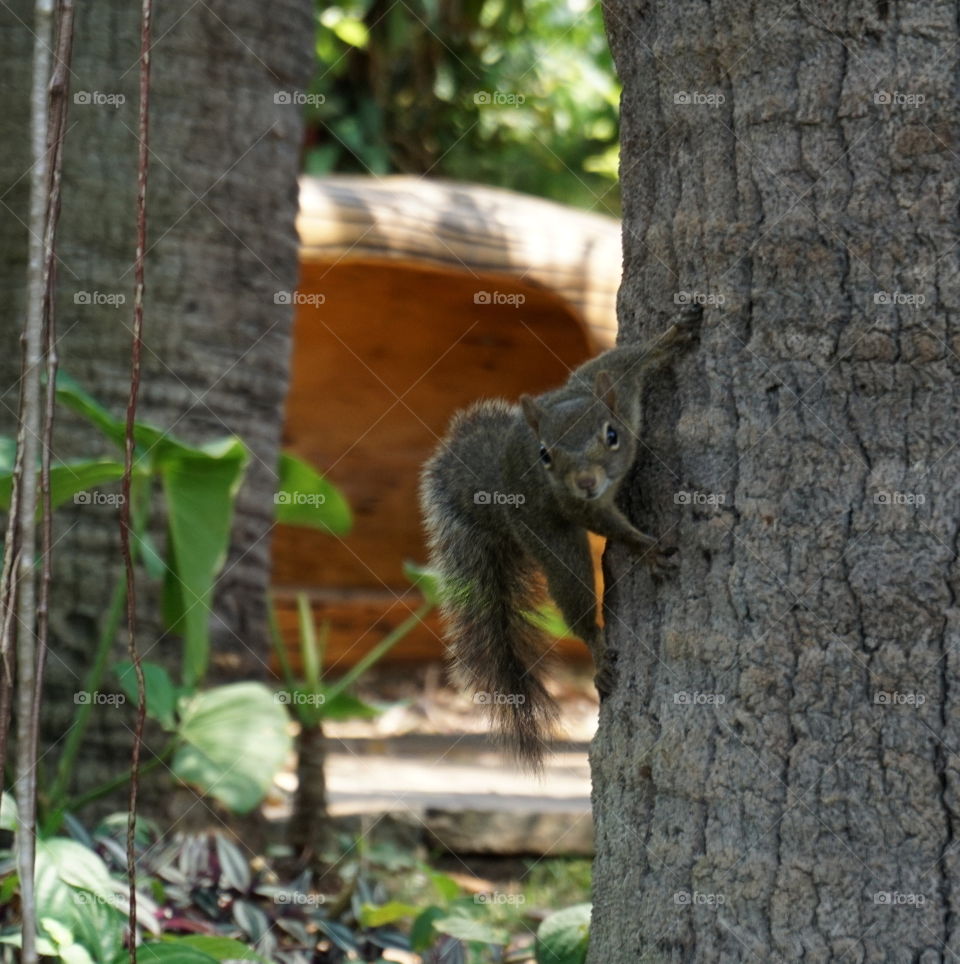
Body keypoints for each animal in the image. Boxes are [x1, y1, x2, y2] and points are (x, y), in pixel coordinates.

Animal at [420, 302, 704, 768]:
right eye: (546, 456)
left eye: (611, 434)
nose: (586, 482)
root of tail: (498, 488)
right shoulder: (578, 506)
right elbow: (608, 525)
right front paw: (645, 549)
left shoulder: (614, 384)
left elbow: (627, 359)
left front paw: (672, 336)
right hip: (544, 534)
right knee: (575, 594)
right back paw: (598, 650)